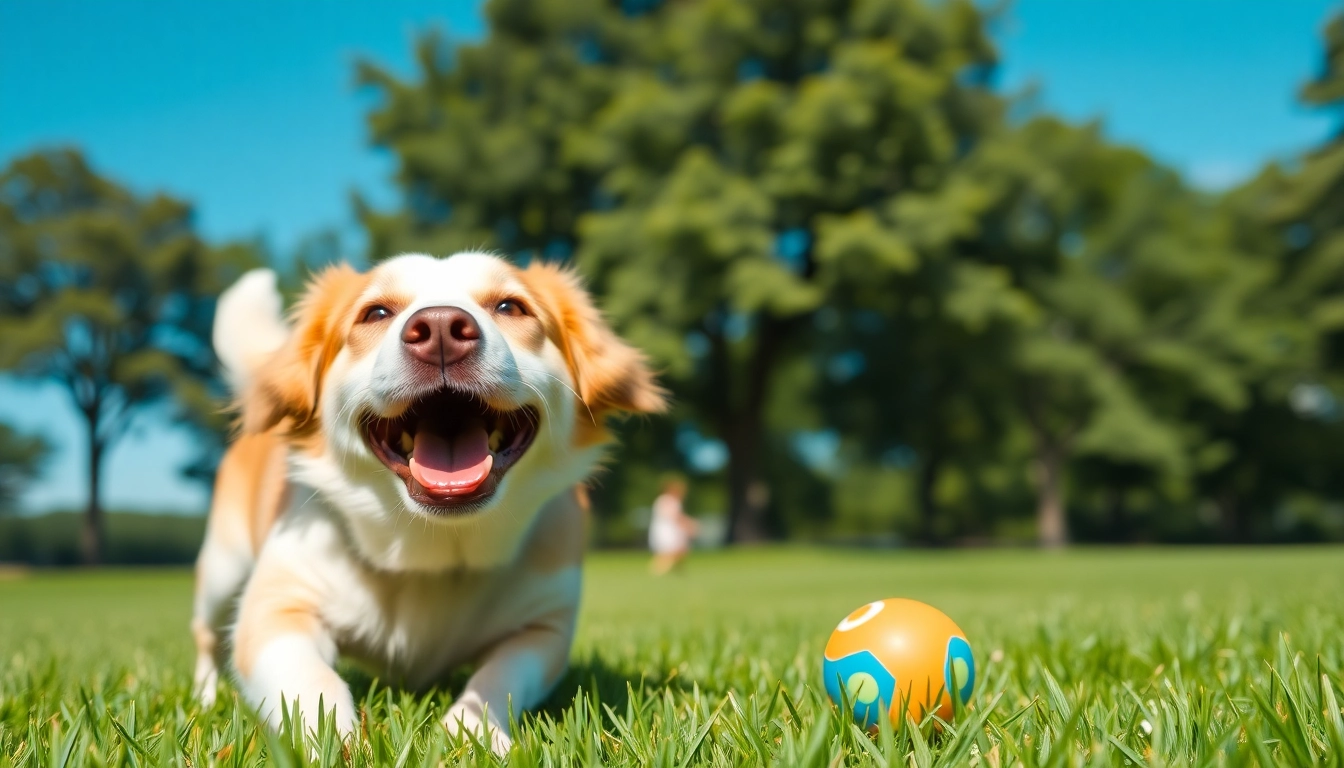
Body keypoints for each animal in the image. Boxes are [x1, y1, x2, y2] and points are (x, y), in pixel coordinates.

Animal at [190, 252, 666, 753]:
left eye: (510, 306)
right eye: (376, 313)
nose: (440, 327)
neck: (431, 550)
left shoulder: (544, 628)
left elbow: (499, 677)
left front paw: (473, 733)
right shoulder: (275, 608)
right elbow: (311, 682)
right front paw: (338, 742)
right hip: (222, 572)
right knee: (205, 636)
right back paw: (205, 696)